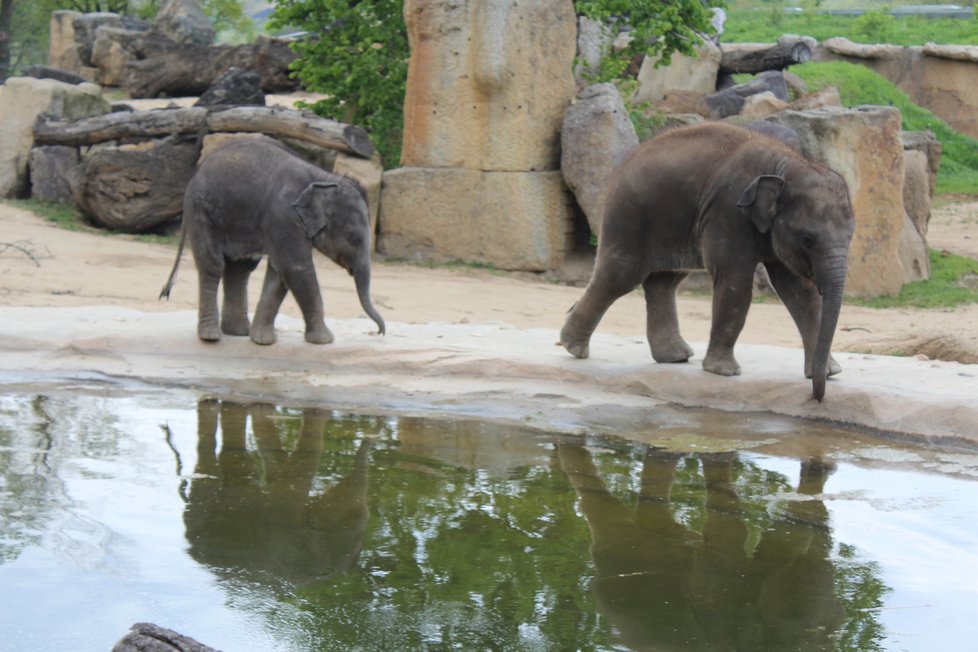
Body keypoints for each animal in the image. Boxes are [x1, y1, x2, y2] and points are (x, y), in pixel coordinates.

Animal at [158, 139, 384, 344]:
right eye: (354, 239)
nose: (379, 332)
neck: (324, 178)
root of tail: (193, 177)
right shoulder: (283, 216)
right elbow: (296, 268)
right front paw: (325, 340)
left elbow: (280, 272)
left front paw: (263, 341)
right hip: (201, 213)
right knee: (213, 265)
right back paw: (211, 336)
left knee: (240, 269)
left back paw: (239, 332)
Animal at [560, 119, 852, 400]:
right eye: (808, 239)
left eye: (851, 236)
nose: (817, 397)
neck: (786, 165)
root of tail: (626, 160)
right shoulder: (728, 212)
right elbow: (735, 283)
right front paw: (723, 372)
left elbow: (799, 292)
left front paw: (830, 372)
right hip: (628, 214)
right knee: (619, 276)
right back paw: (574, 348)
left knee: (664, 281)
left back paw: (675, 357)